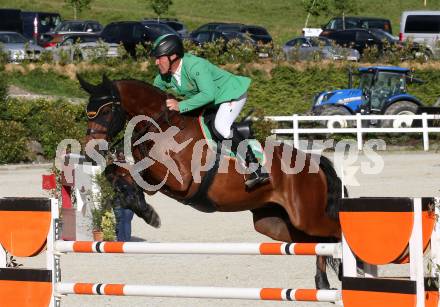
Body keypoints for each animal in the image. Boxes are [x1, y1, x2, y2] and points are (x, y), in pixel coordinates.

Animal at [81, 75, 346, 292]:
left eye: (105, 111)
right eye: (88, 112)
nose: (89, 150)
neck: (161, 125)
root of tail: (314, 163)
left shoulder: (180, 178)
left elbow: (137, 171)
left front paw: (145, 209)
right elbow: (117, 171)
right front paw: (139, 205)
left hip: (307, 216)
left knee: (334, 233)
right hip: (275, 224)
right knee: (318, 243)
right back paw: (322, 283)